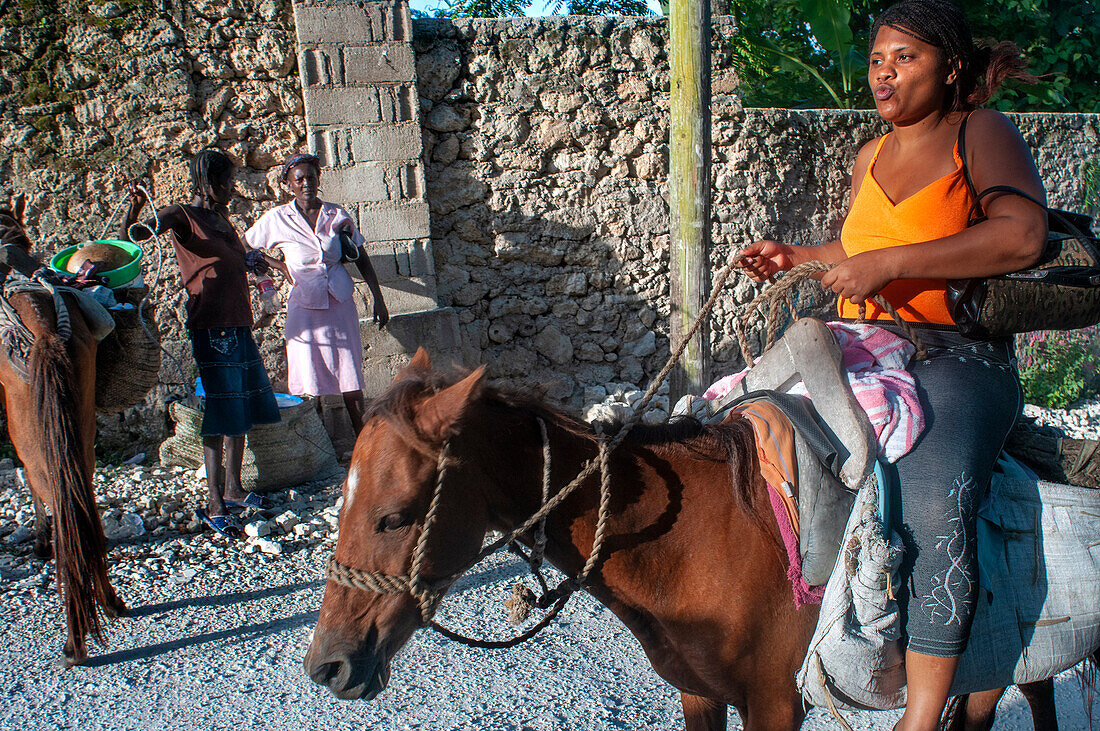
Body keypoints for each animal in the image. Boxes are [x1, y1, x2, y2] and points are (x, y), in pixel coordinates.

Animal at [0, 196, 125, 663]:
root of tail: (44, 330)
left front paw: (38, 542)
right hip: (81, 421)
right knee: (81, 497)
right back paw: (109, 602)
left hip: (30, 431)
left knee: (51, 489)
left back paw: (76, 638)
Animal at [305, 351, 1095, 725]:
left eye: (394, 515)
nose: (327, 666)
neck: (689, 543)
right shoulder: (699, 695)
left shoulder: (776, 704)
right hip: (1011, 665)